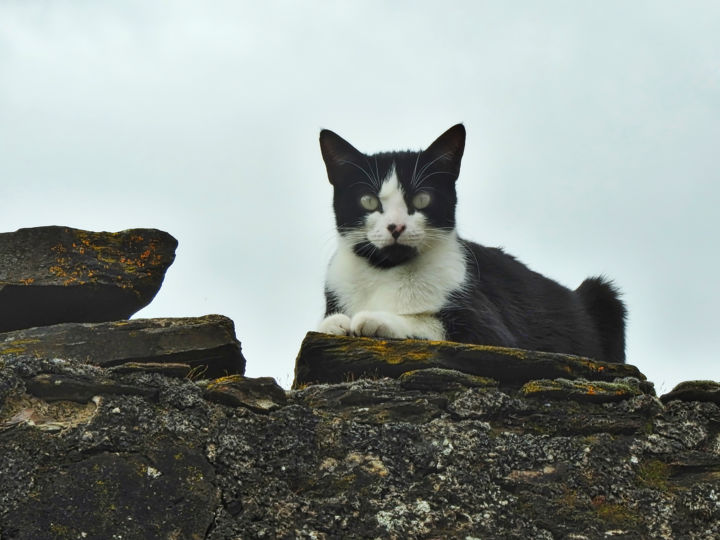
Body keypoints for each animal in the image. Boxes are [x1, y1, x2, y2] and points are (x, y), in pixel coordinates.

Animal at [316, 123, 624, 362]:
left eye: (422, 198)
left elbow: (431, 323)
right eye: (368, 201)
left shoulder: (492, 333)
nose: (396, 226)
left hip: (603, 293)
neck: (383, 272)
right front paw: (334, 323)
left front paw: (375, 319)